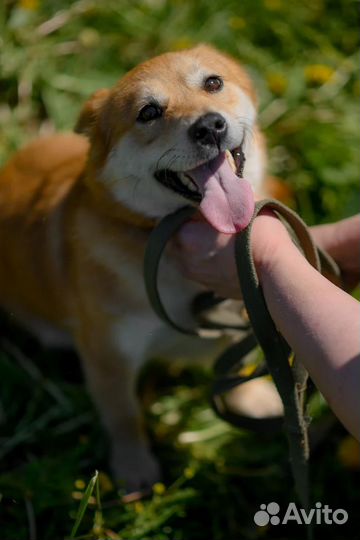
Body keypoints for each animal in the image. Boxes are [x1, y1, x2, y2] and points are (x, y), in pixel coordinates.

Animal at [0, 43, 272, 490]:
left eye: (213, 82)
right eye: (148, 112)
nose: (210, 127)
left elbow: (234, 367)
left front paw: (250, 400)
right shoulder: (109, 354)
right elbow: (124, 416)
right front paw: (135, 471)